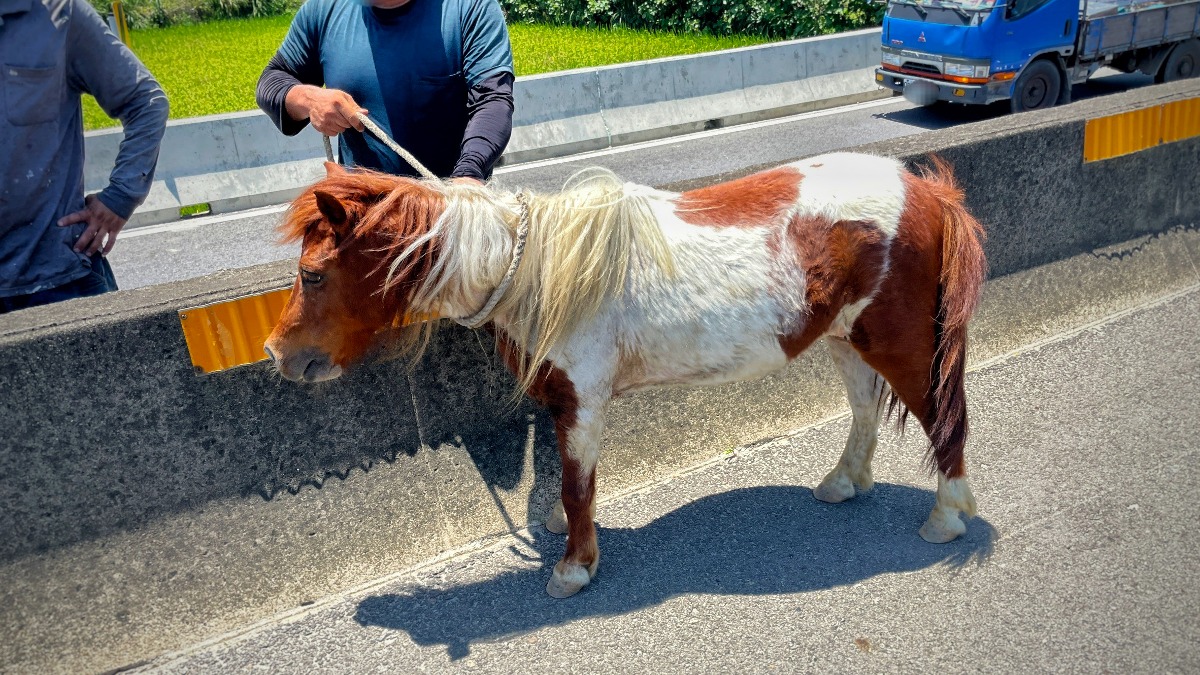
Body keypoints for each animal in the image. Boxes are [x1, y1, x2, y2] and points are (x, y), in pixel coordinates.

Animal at [267, 154, 988, 595]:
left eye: (312, 274)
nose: (278, 353)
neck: (537, 270)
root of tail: (928, 192)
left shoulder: (583, 401)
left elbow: (578, 485)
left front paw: (575, 567)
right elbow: (564, 481)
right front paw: (558, 532)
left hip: (901, 344)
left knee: (944, 421)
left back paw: (947, 517)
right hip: (844, 336)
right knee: (865, 409)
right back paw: (844, 482)